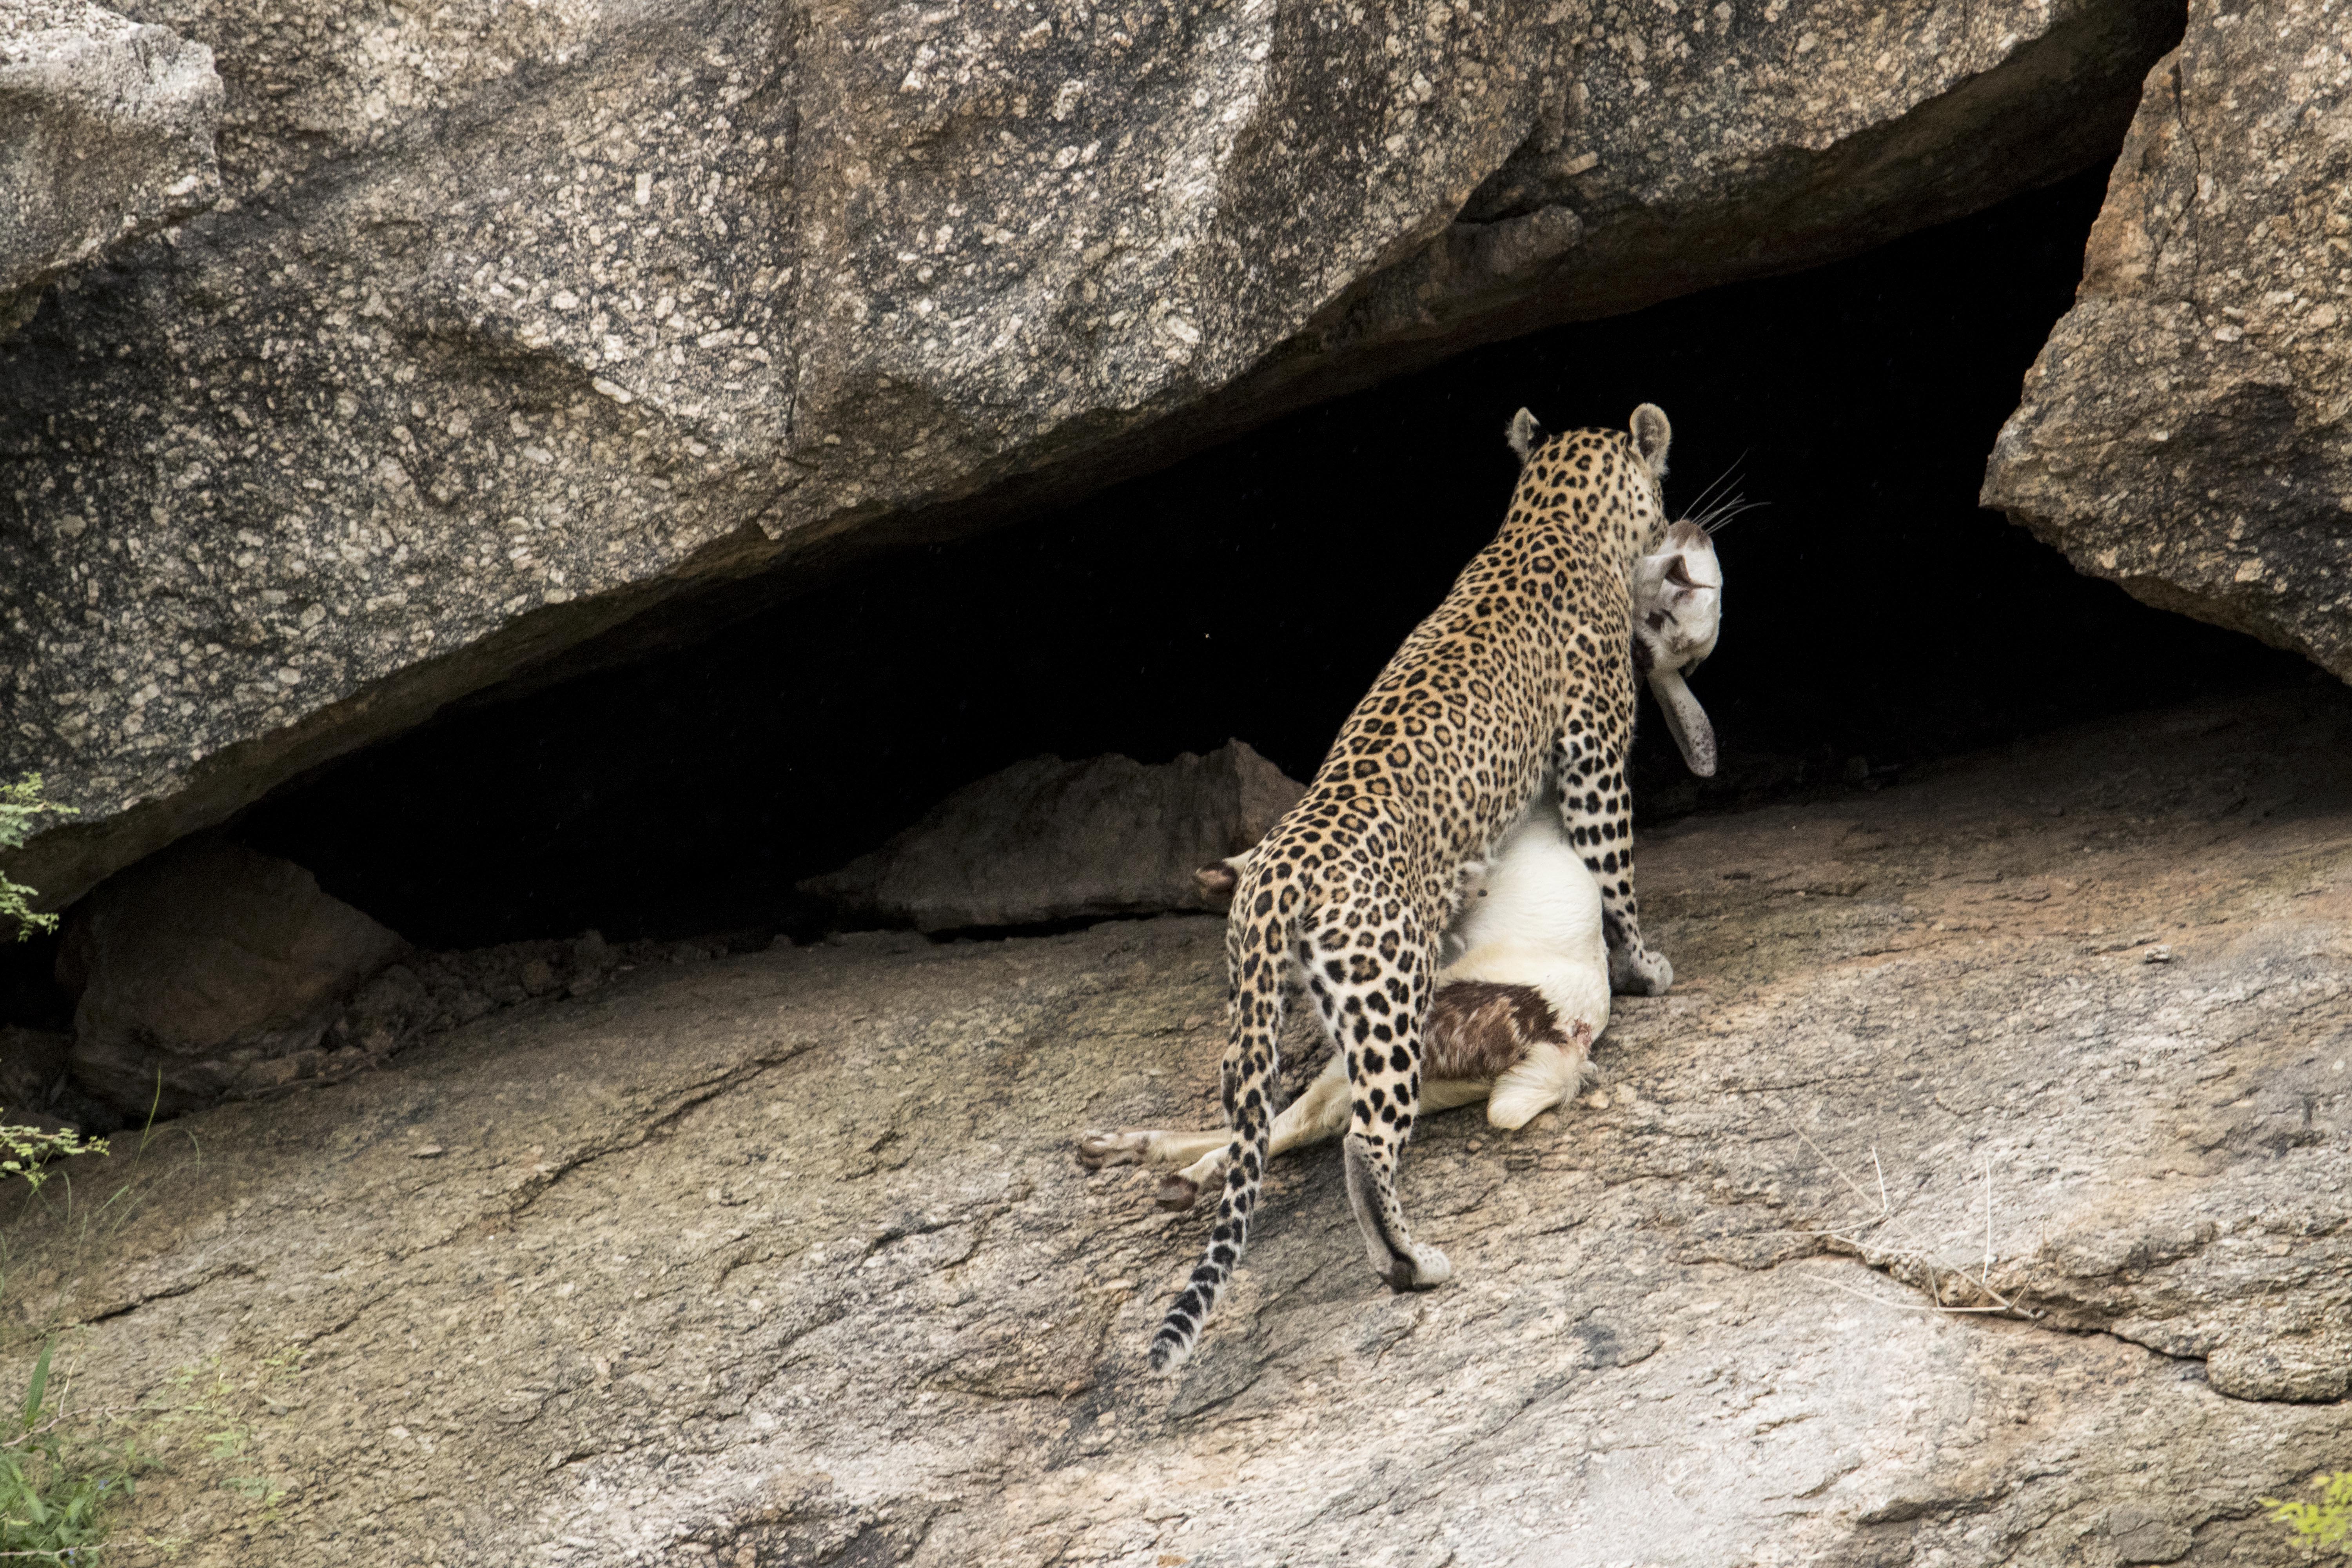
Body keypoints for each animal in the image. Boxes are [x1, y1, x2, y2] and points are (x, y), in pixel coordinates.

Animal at [1148, 404, 1684, 1373]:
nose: (1675, 538)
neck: (1546, 518)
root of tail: (1278, 872)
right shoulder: (1594, 758)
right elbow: (1615, 873)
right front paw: (1646, 966)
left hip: (1258, 1007)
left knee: (1257, 1117)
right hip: (1390, 1000)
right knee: (1366, 1144)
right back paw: (1411, 1265)